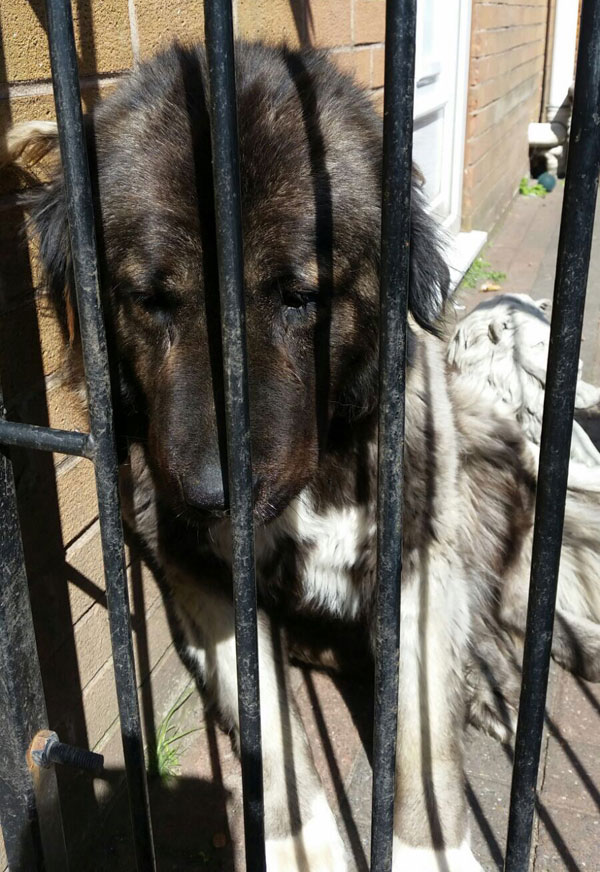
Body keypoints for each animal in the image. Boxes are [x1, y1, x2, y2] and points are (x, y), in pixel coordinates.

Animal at [8, 41, 600, 872]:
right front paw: (304, 846)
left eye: (300, 297)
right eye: (150, 300)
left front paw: (428, 847)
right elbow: (271, 737)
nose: (208, 497)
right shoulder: (204, 581)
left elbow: (421, 742)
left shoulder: (416, 558)